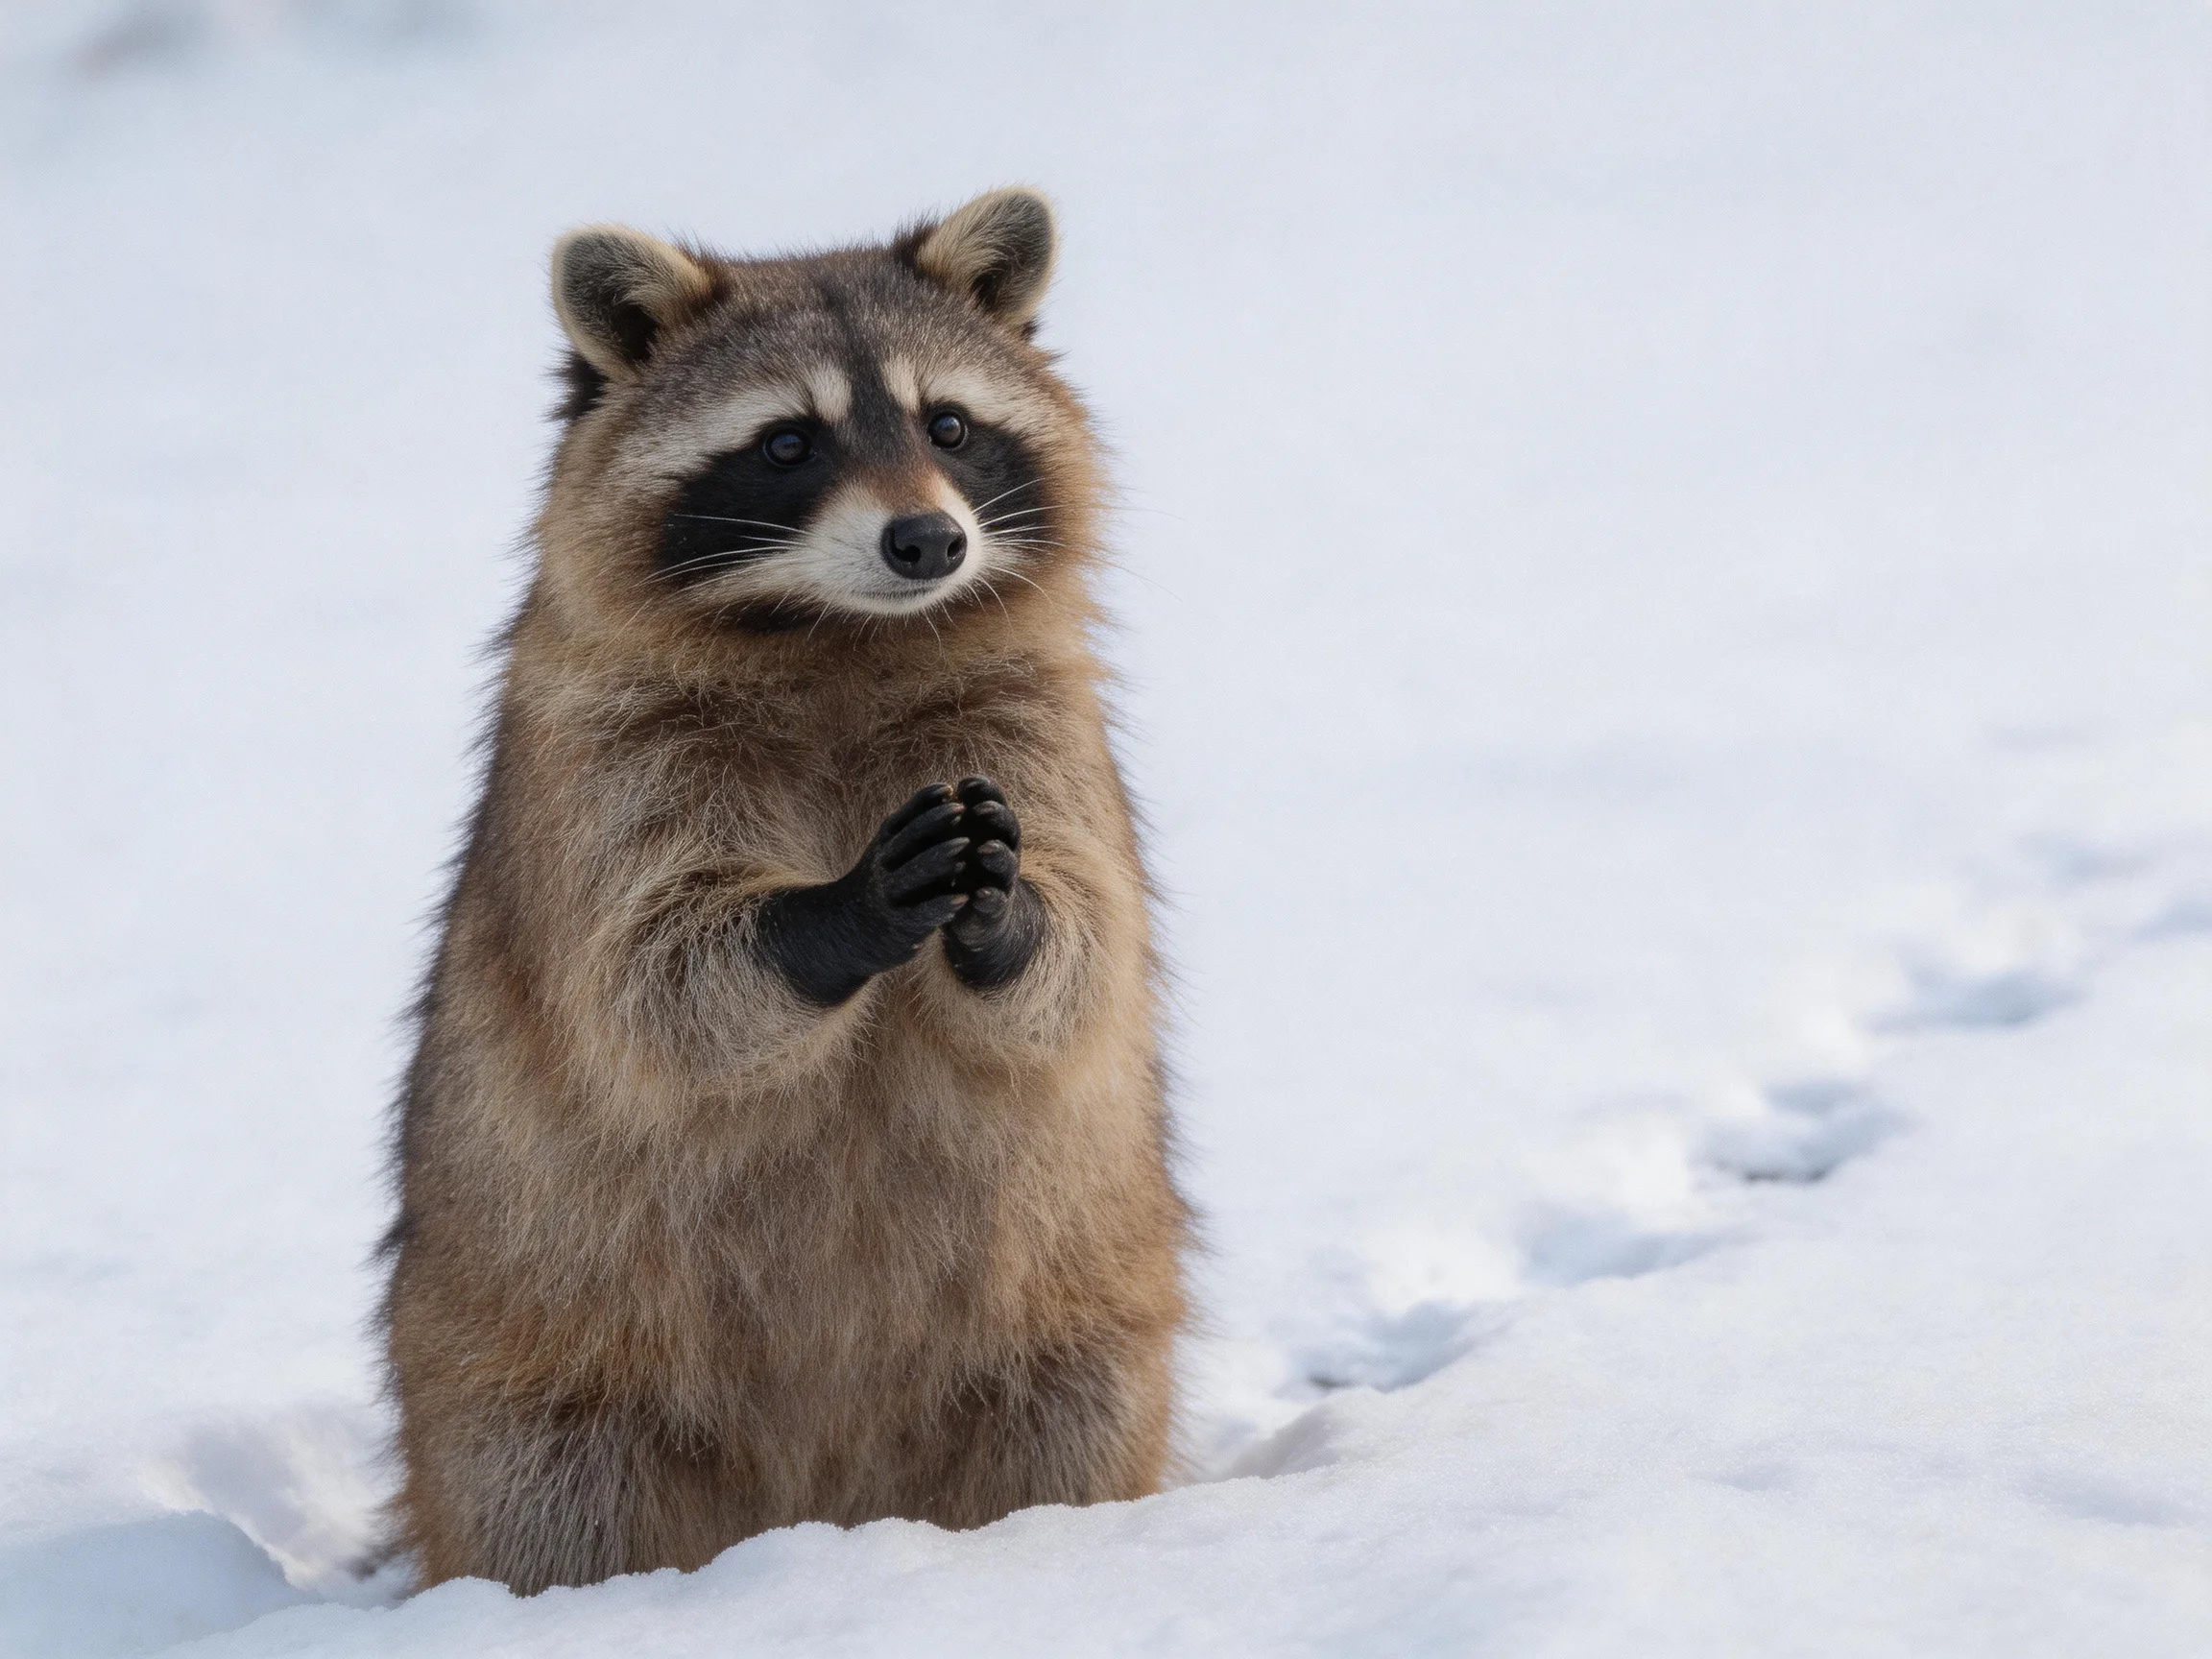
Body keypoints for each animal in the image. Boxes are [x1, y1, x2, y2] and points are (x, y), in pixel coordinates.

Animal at [379, 188, 1189, 1594]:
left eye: (949, 424)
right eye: (787, 443)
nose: (929, 540)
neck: (840, 635)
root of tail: (820, 1513)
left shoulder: (1038, 735)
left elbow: (1089, 950)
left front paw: (1015, 918)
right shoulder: (600, 768)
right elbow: (645, 977)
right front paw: (827, 918)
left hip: (1081, 1317)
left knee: (1074, 1425)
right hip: (517, 1368)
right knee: (542, 1507)